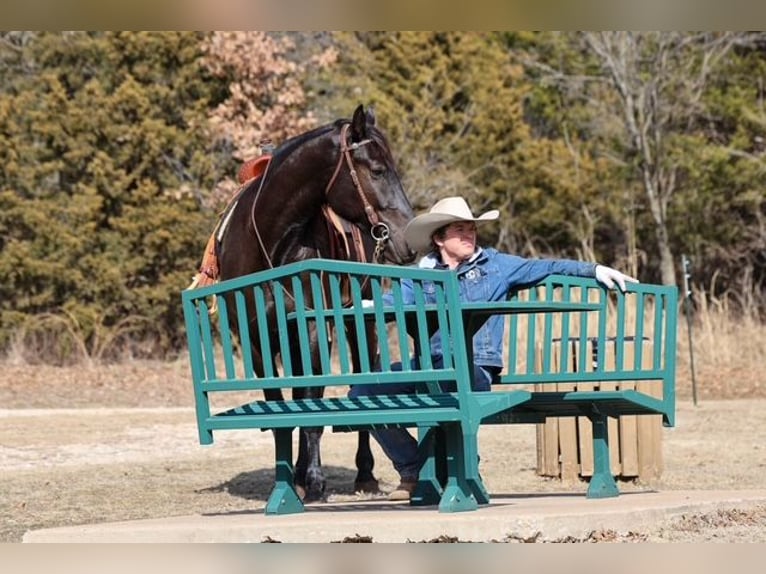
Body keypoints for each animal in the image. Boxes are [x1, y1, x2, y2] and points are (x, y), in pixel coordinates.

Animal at [213, 104, 416, 501]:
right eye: (377, 170)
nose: (407, 238)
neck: (270, 243)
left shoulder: (312, 332)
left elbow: (311, 409)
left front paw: (316, 481)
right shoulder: (256, 341)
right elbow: (283, 411)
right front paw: (287, 480)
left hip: (361, 323)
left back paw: (361, 473)